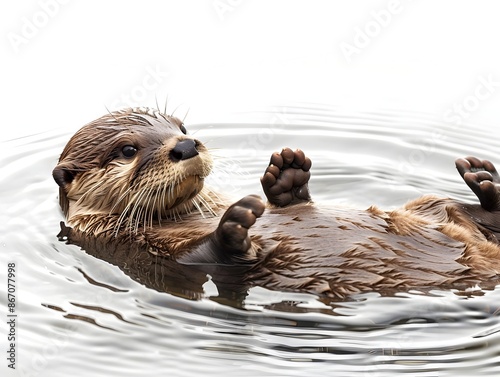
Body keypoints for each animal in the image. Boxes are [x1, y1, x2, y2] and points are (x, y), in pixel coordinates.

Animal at [53, 106, 500, 300]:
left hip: (431, 205)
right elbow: (208, 259)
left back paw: (482, 181)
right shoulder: (141, 250)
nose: (185, 144)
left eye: (180, 126)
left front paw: (287, 173)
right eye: (128, 149)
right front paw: (234, 224)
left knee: (460, 212)